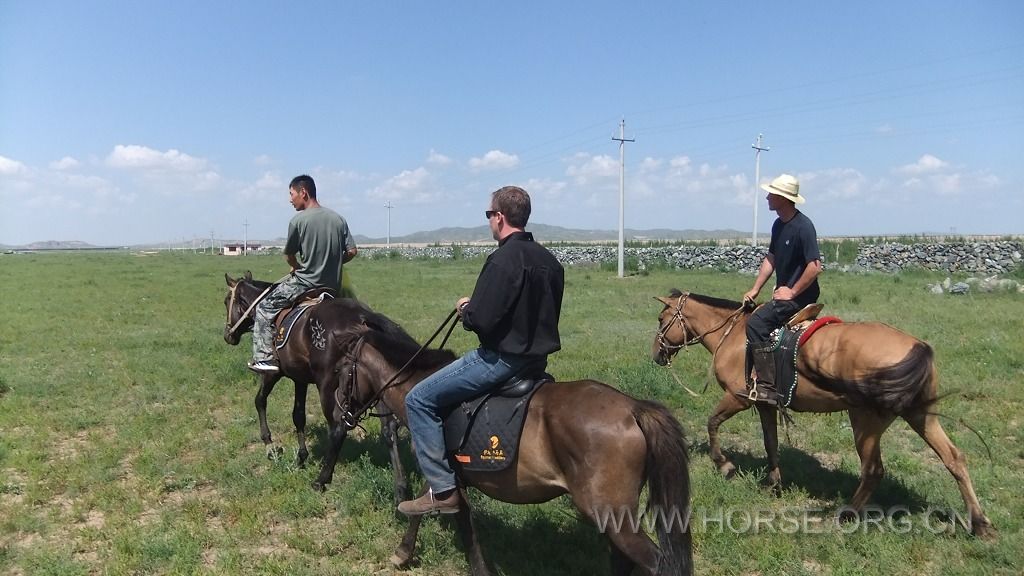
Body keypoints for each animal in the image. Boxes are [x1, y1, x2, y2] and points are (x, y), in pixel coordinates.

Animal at [222, 270, 405, 496]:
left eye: (226, 301)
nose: (228, 335)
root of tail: (364, 319)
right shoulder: (300, 378)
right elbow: (298, 416)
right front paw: (301, 457)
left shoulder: (273, 373)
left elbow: (260, 401)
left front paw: (270, 447)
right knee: (389, 429)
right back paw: (401, 490)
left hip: (329, 387)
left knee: (338, 427)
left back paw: (321, 480)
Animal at [335, 309, 696, 573]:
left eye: (340, 370)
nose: (341, 412)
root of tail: (633, 408)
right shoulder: (450, 476)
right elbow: (459, 522)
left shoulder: (436, 468)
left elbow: (432, 517)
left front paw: (403, 553)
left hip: (611, 514)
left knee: (655, 563)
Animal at [651, 289, 995, 537]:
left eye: (660, 318)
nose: (656, 354)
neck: (735, 336)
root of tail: (917, 346)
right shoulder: (765, 404)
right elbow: (771, 442)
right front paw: (773, 483)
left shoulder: (739, 397)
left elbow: (712, 422)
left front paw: (725, 465)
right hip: (921, 415)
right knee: (954, 458)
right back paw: (980, 524)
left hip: (865, 421)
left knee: (873, 470)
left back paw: (848, 514)